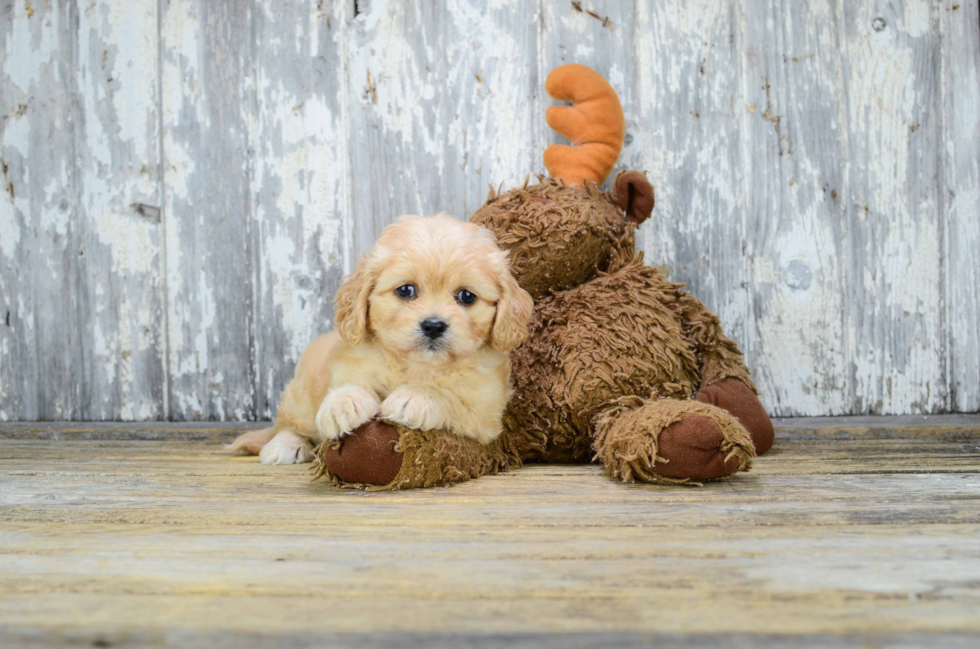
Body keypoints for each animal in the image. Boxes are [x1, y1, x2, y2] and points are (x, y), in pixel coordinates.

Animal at [229, 215, 532, 464]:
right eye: (406, 290)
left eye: (466, 296)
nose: (433, 326)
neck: (416, 364)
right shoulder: (350, 366)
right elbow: (352, 385)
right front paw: (343, 404)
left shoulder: (485, 415)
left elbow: (446, 396)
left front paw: (414, 397)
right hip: (300, 396)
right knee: (287, 425)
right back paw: (285, 446)